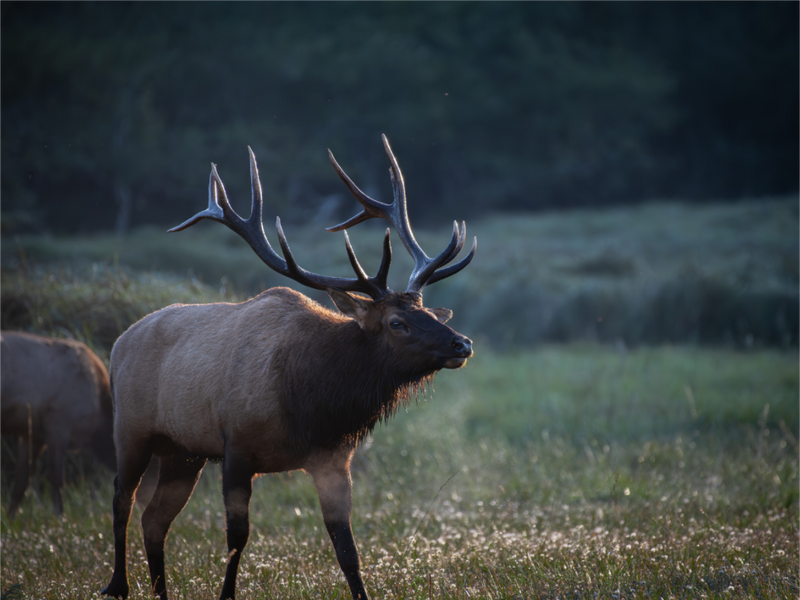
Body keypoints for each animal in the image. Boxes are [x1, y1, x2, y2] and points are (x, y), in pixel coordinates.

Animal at [0, 331, 116, 517]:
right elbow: (58, 482)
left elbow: (20, 485)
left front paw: (10, 519)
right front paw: (60, 518)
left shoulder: (33, 435)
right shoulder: (58, 425)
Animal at [101, 134, 476, 600]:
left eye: (426, 310)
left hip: (183, 451)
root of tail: (119, 342)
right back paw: (117, 584)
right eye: (396, 322)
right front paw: (226, 594)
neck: (310, 404)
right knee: (122, 499)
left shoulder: (333, 459)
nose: (462, 343)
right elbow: (237, 539)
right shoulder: (236, 447)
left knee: (154, 520)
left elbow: (347, 549)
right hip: (131, 429)